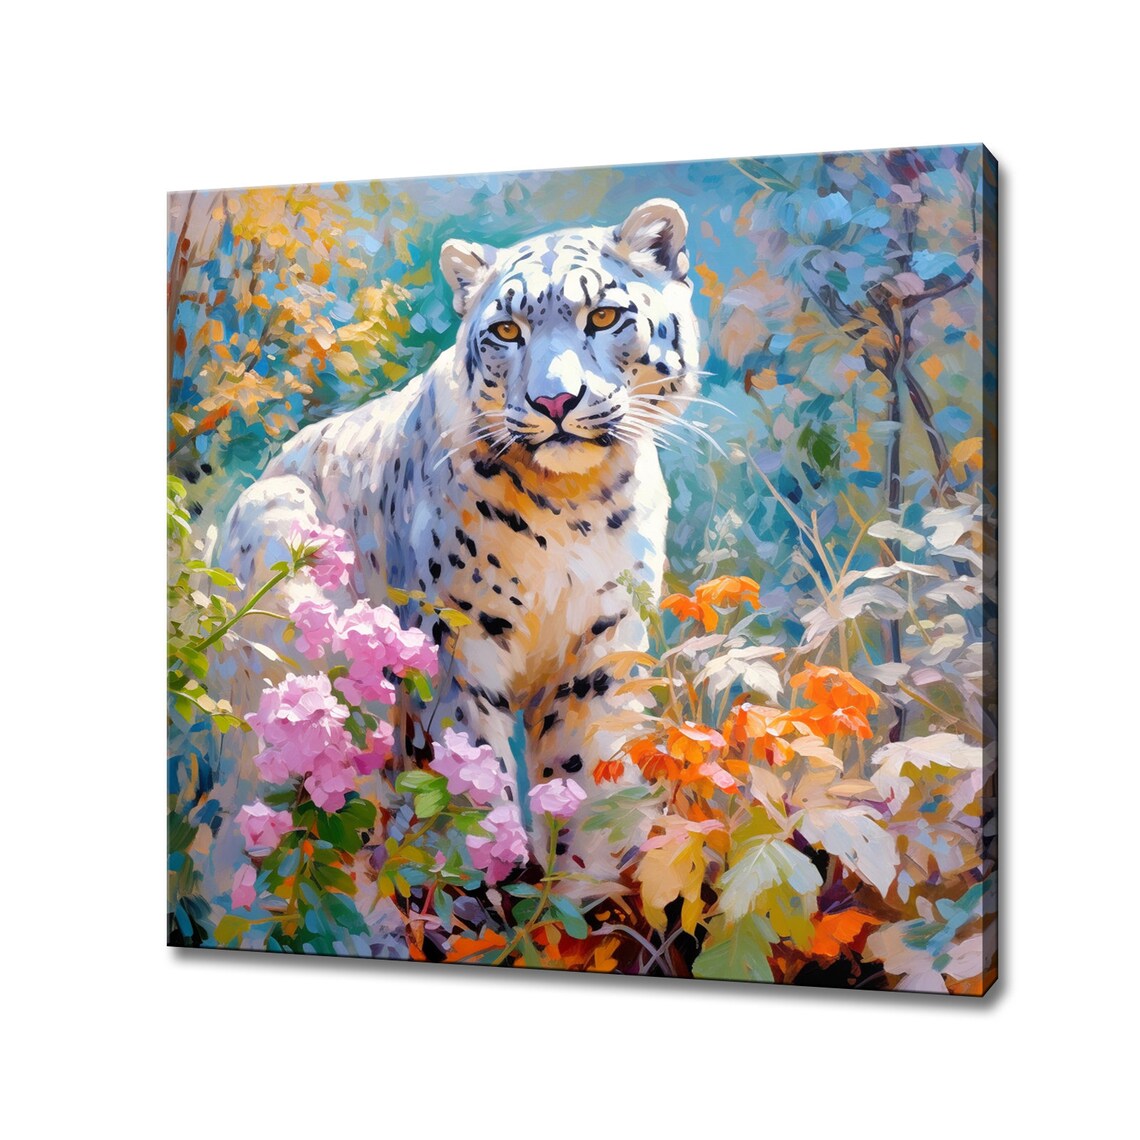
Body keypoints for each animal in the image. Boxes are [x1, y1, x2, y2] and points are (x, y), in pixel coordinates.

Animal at [213, 198, 700, 893]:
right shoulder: (459, 636)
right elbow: (469, 762)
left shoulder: (601, 641)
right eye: (506, 331)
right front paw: (483, 872)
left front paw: (585, 881)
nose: (554, 400)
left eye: (605, 316)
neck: (575, 507)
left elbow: (590, 764)